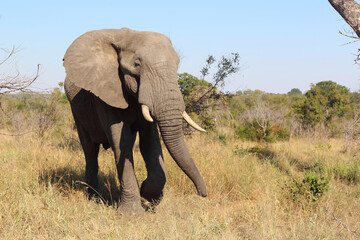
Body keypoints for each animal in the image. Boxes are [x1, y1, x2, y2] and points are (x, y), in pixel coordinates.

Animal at [63, 28, 207, 214]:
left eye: (177, 64)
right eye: (137, 64)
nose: (203, 194)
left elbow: (150, 143)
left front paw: (147, 196)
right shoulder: (107, 93)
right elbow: (121, 143)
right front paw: (132, 212)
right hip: (77, 111)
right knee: (90, 150)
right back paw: (94, 198)